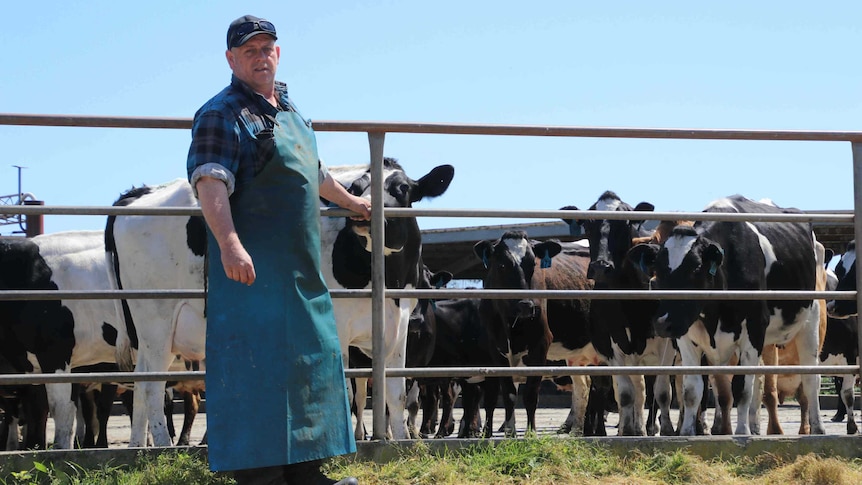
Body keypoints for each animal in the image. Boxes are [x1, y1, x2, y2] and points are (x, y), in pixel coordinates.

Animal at [472, 231, 600, 434]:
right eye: (501, 265)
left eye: (533, 264)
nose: (526, 305)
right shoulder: (496, 348)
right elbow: (509, 392)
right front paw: (510, 432)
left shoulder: (540, 343)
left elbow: (531, 394)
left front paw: (530, 433)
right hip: (576, 354)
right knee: (583, 386)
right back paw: (575, 430)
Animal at [564, 192, 680, 434]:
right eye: (587, 224)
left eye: (626, 223)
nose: (601, 266)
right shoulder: (613, 343)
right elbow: (626, 394)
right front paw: (627, 432)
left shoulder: (666, 345)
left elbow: (663, 392)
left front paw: (666, 430)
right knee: (634, 389)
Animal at [632, 195, 828, 436]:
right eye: (657, 270)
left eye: (696, 268)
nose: (661, 323)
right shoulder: (687, 336)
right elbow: (692, 389)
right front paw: (687, 432)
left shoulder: (753, 329)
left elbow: (741, 387)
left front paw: (742, 431)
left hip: (810, 322)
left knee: (811, 378)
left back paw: (817, 428)